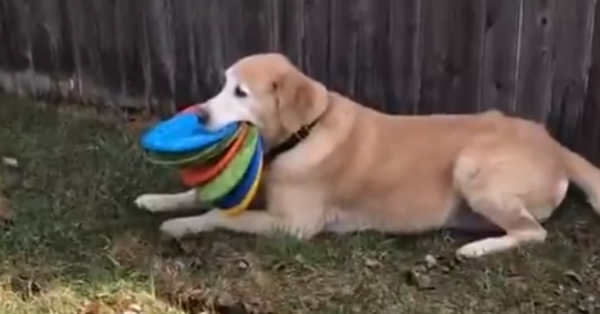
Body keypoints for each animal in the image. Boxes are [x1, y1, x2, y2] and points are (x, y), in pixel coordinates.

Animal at [135, 52, 600, 258]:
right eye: (223, 84)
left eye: (241, 92)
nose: (199, 113)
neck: (302, 135)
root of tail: (553, 142)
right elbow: (198, 196)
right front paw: (157, 201)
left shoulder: (293, 226)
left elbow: (219, 214)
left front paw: (179, 226)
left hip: (473, 169)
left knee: (533, 232)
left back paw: (479, 249)